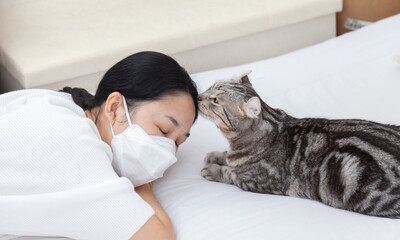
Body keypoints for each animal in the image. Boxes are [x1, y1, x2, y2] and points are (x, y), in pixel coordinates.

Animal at [199, 72, 400, 218]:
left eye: (215, 100)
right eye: (210, 87)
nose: (199, 96)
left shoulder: (261, 182)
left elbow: (230, 173)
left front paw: (213, 169)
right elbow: (227, 157)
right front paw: (216, 155)